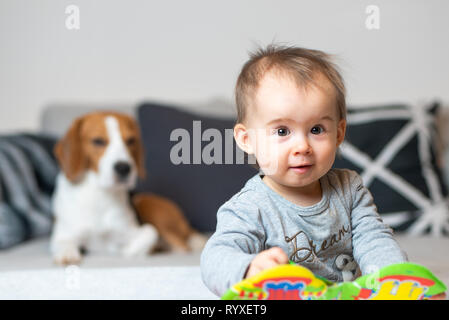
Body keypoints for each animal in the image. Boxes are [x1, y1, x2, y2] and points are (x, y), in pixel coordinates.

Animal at [50, 110, 205, 264]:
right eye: (98, 141)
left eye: (131, 140)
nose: (124, 168)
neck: (100, 195)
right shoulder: (63, 235)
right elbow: (63, 243)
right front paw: (67, 254)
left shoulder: (132, 231)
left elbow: (150, 233)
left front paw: (125, 250)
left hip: (146, 203)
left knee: (181, 245)